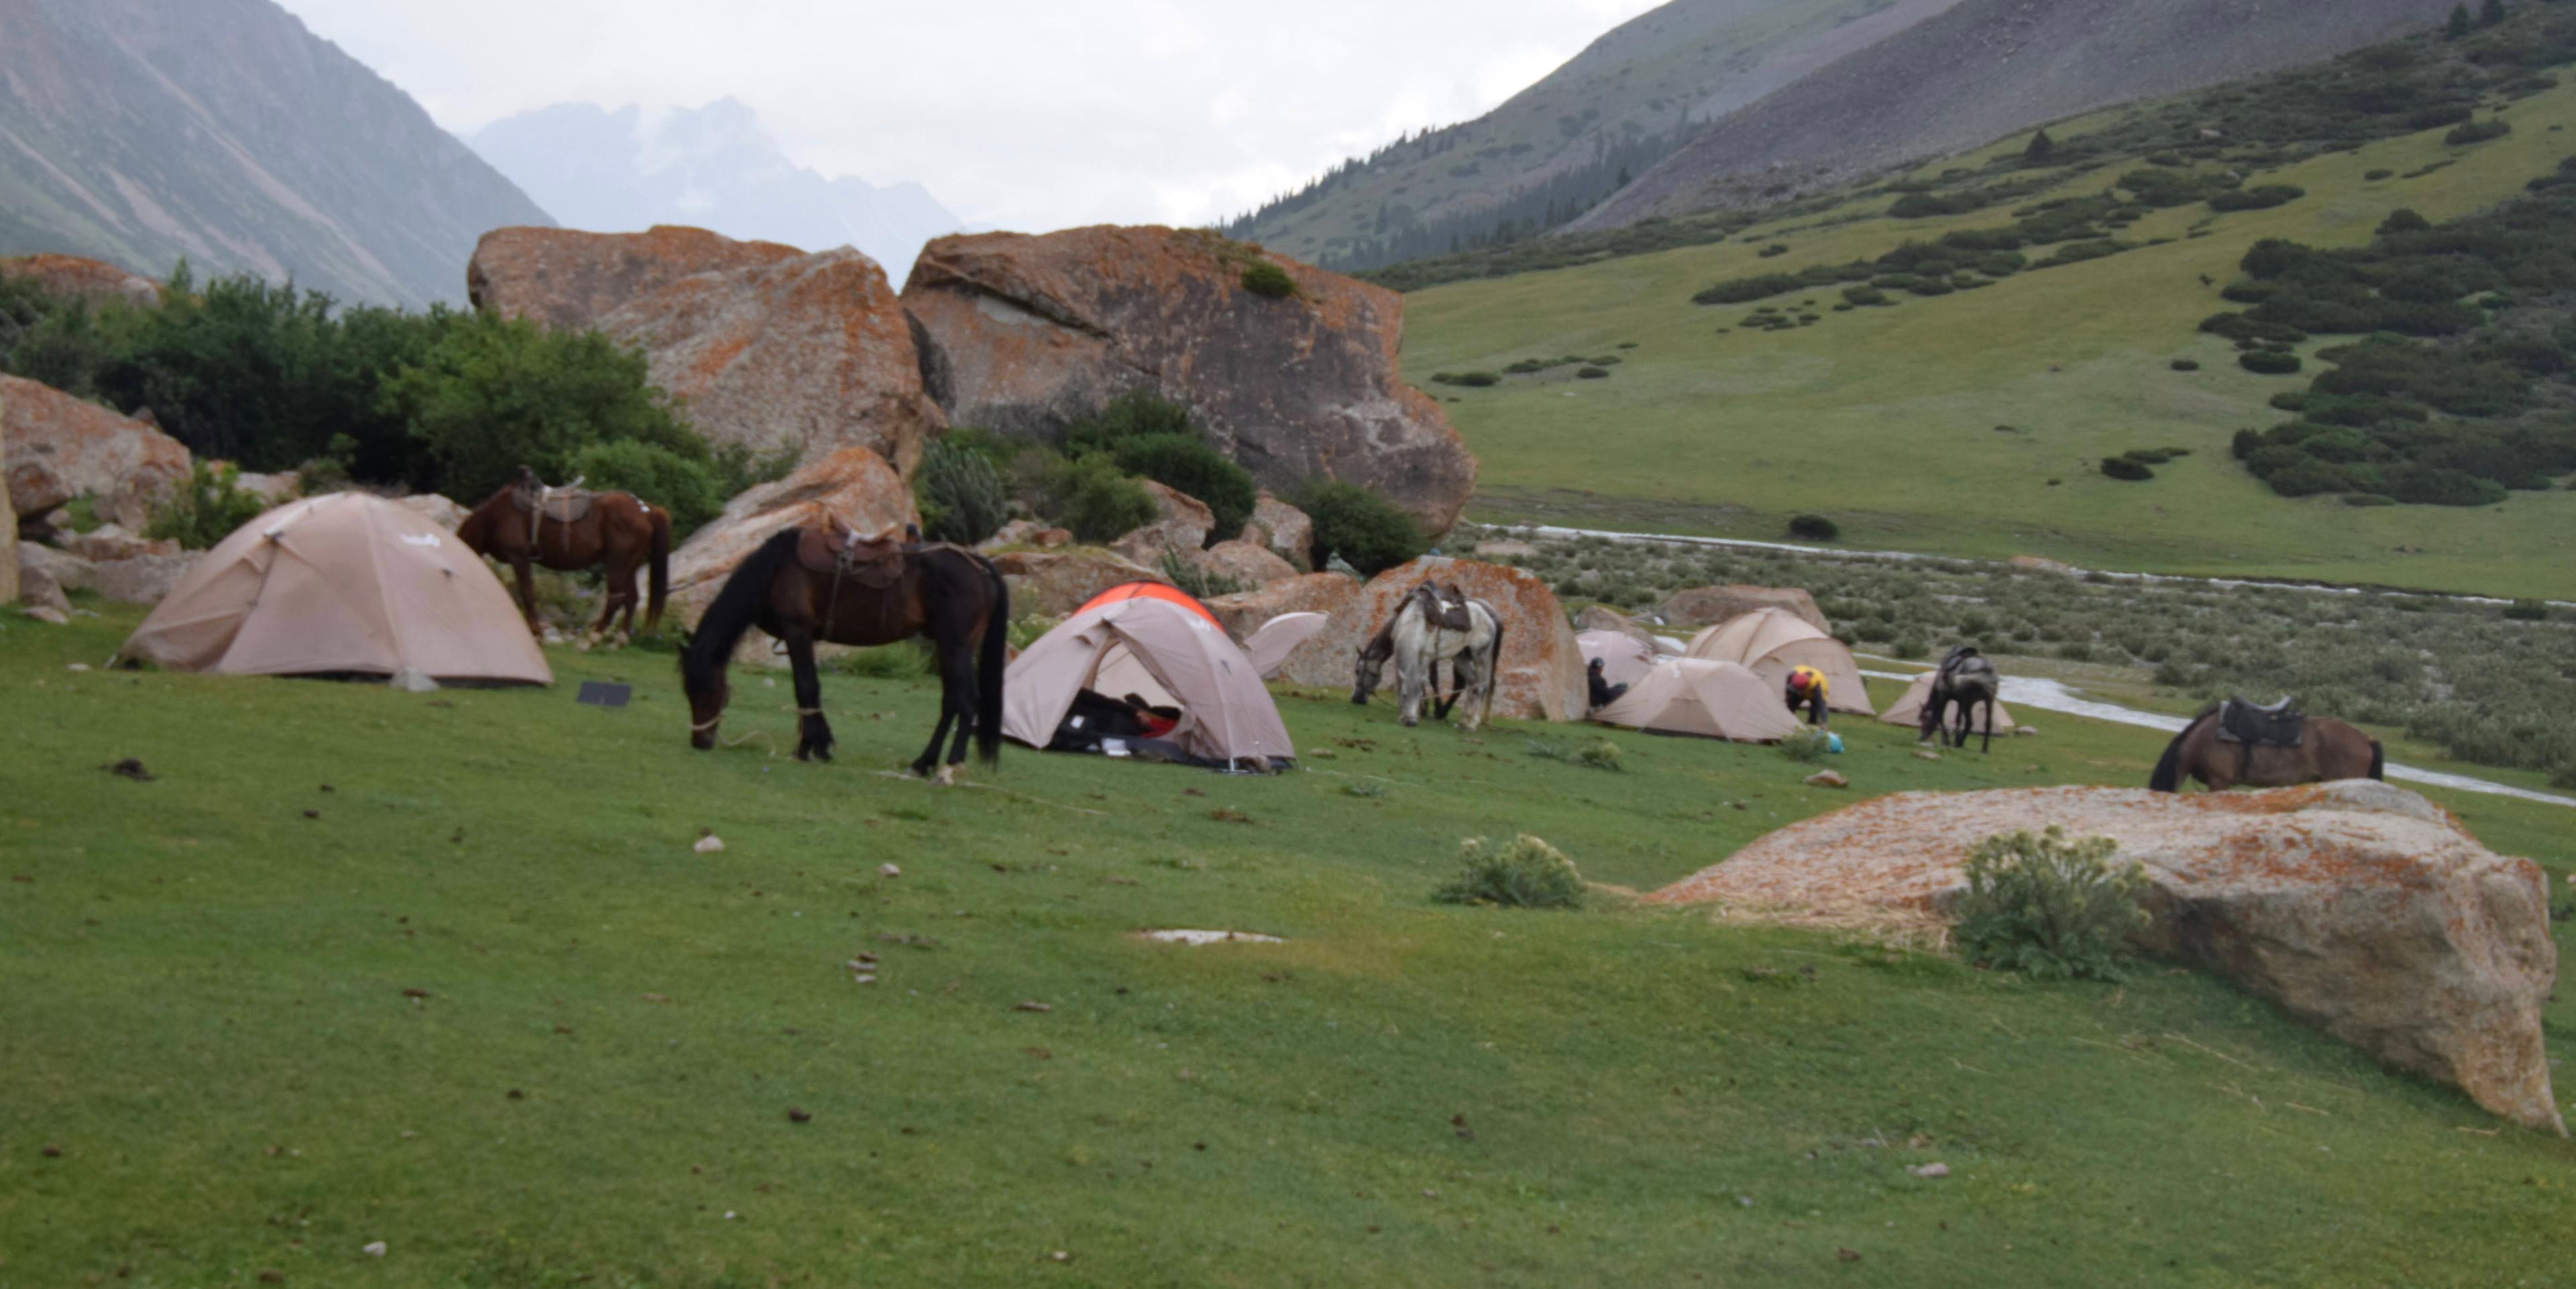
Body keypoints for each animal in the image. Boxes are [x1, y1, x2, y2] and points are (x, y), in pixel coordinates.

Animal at [461, 463, 675, 643]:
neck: (494, 518)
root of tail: (646, 510)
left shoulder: (519, 559)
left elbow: (527, 593)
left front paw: (536, 633)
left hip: (618, 564)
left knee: (616, 598)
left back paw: (592, 639)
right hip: (630, 565)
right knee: (631, 599)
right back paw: (619, 641)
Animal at [1350, 586, 1504, 736]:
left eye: (1366, 672)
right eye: (1357, 671)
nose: (1356, 699)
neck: (1412, 622)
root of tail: (1490, 617)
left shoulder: (1427, 657)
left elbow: (1427, 680)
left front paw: (1425, 709)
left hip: (1480, 656)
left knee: (1482, 686)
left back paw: (1470, 723)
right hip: (1461, 658)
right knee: (1473, 685)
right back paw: (1463, 722)